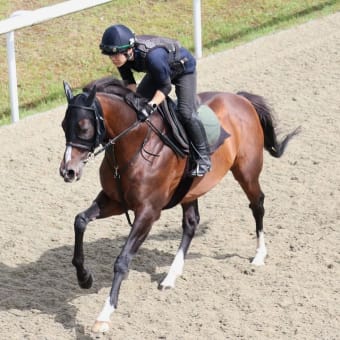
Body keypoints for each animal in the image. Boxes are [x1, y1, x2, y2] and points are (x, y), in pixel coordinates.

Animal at [59, 79, 298, 332]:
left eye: (84, 127)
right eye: (64, 125)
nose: (67, 171)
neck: (133, 143)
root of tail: (241, 99)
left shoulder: (148, 213)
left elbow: (122, 261)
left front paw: (104, 315)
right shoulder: (114, 200)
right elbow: (80, 221)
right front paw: (84, 277)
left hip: (246, 171)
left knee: (257, 205)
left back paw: (259, 255)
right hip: (191, 190)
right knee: (191, 223)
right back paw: (171, 277)